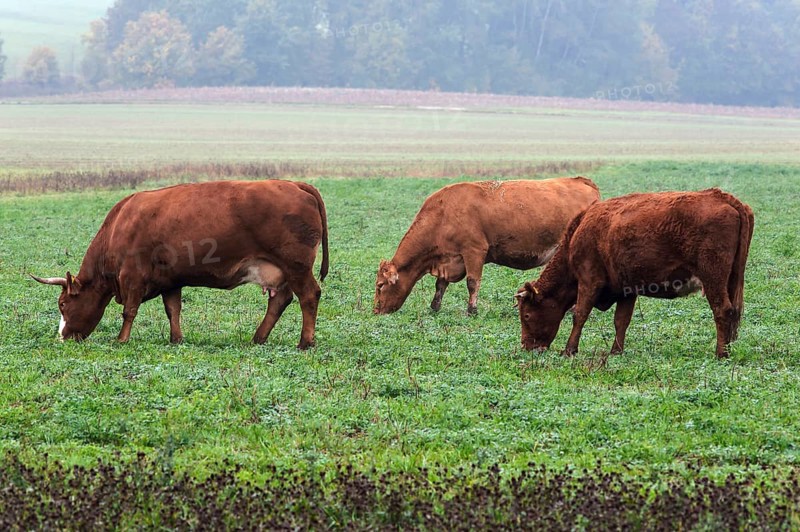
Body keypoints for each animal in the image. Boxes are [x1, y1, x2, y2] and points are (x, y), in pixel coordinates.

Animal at [32, 180, 329, 349]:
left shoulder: (132, 276)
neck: (120, 224)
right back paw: (258, 338)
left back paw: (305, 342)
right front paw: (176, 339)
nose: (62, 336)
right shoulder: (170, 280)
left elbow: (129, 311)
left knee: (308, 296)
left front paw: (121, 339)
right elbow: (172, 310)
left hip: (297, 267)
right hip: (283, 271)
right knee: (280, 301)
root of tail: (295, 184)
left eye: (63, 304)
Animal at [374, 177, 601, 315]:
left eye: (380, 285)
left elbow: (472, 282)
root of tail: (581, 181)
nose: (376, 310)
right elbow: (440, 285)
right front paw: (434, 306)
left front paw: (471, 310)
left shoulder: (474, 251)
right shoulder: (449, 258)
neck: (443, 214)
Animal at [515, 188, 754, 358]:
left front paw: (569, 350)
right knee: (732, 312)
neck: (579, 233)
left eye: (526, 315)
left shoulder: (589, 281)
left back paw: (720, 354)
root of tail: (723, 198)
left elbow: (579, 314)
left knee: (722, 310)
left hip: (713, 278)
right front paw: (616, 351)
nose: (527, 346)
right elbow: (621, 320)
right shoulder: (626, 290)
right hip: (730, 280)